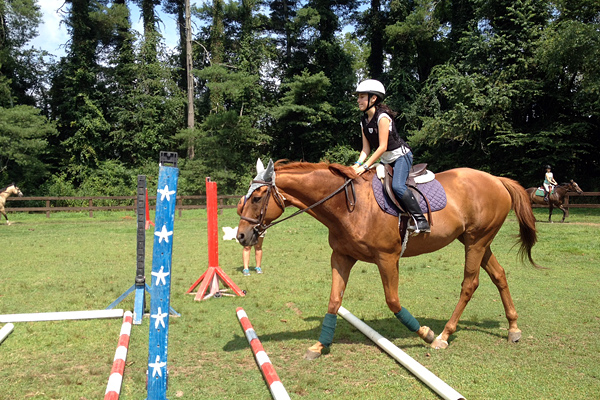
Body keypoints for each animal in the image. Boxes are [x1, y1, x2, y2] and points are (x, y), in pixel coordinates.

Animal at [236, 160, 540, 360]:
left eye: (258, 197)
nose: (241, 235)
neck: (349, 206)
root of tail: (496, 179)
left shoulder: (387, 258)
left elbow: (393, 301)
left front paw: (426, 334)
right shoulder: (342, 257)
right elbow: (334, 301)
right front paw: (319, 346)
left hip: (476, 242)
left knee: (470, 284)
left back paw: (444, 336)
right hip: (475, 241)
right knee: (499, 275)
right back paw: (513, 328)